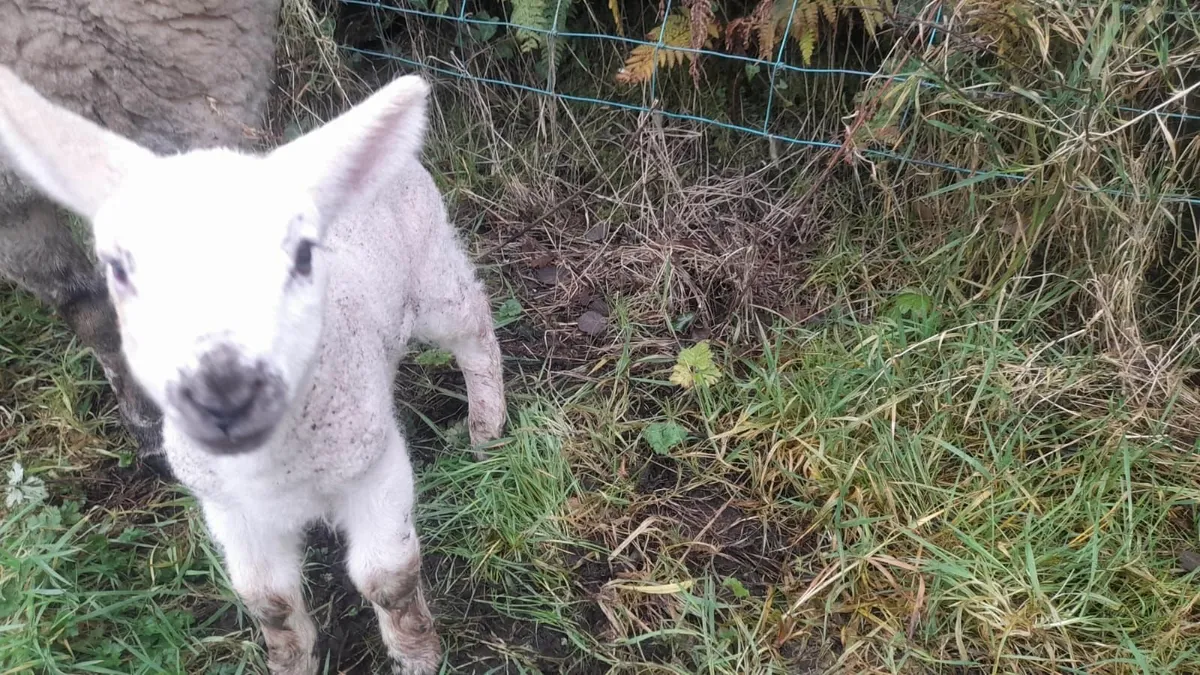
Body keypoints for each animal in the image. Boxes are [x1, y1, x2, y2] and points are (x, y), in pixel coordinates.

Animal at [0, 65, 507, 674]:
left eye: (305, 255)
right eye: (117, 268)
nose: (223, 391)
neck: (272, 468)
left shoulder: (374, 468)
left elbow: (387, 578)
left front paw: (417, 654)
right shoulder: (229, 507)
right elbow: (268, 599)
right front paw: (292, 660)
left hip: (431, 267)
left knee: (474, 327)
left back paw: (487, 426)